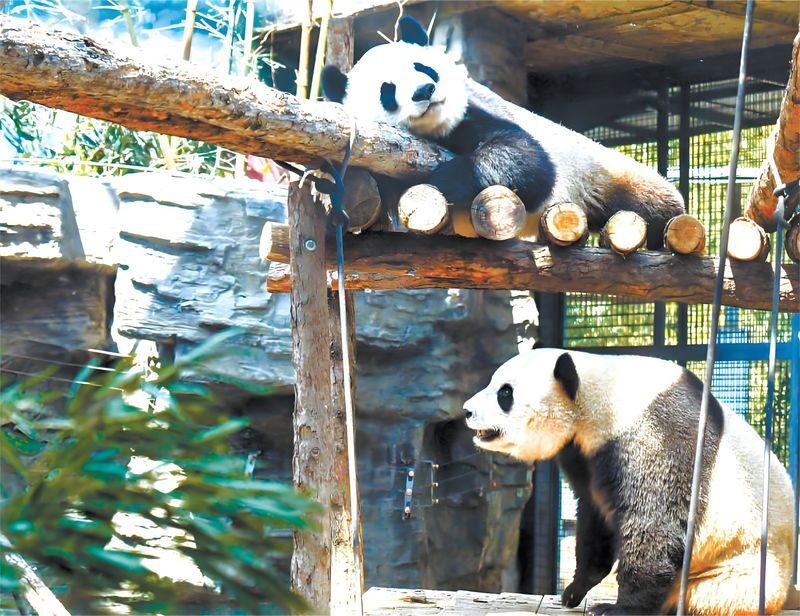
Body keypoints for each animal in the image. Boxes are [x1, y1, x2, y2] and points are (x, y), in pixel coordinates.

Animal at [321, 16, 685, 248]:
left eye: (422, 67)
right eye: (388, 90)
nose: (425, 90)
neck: (437, 131)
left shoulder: (476, 116)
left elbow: (529, 161)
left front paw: (445, 178)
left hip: (604, 173)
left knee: (652, 202)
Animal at [463, 348, 796, 615]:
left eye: (505, 393)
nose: (467, 411)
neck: (596, 397)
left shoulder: (653, 437)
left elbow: (653, 526)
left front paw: (618, 608)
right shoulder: (585, 455)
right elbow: (594, 516)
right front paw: (573, 591)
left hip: (738, 574)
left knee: (708, 596)